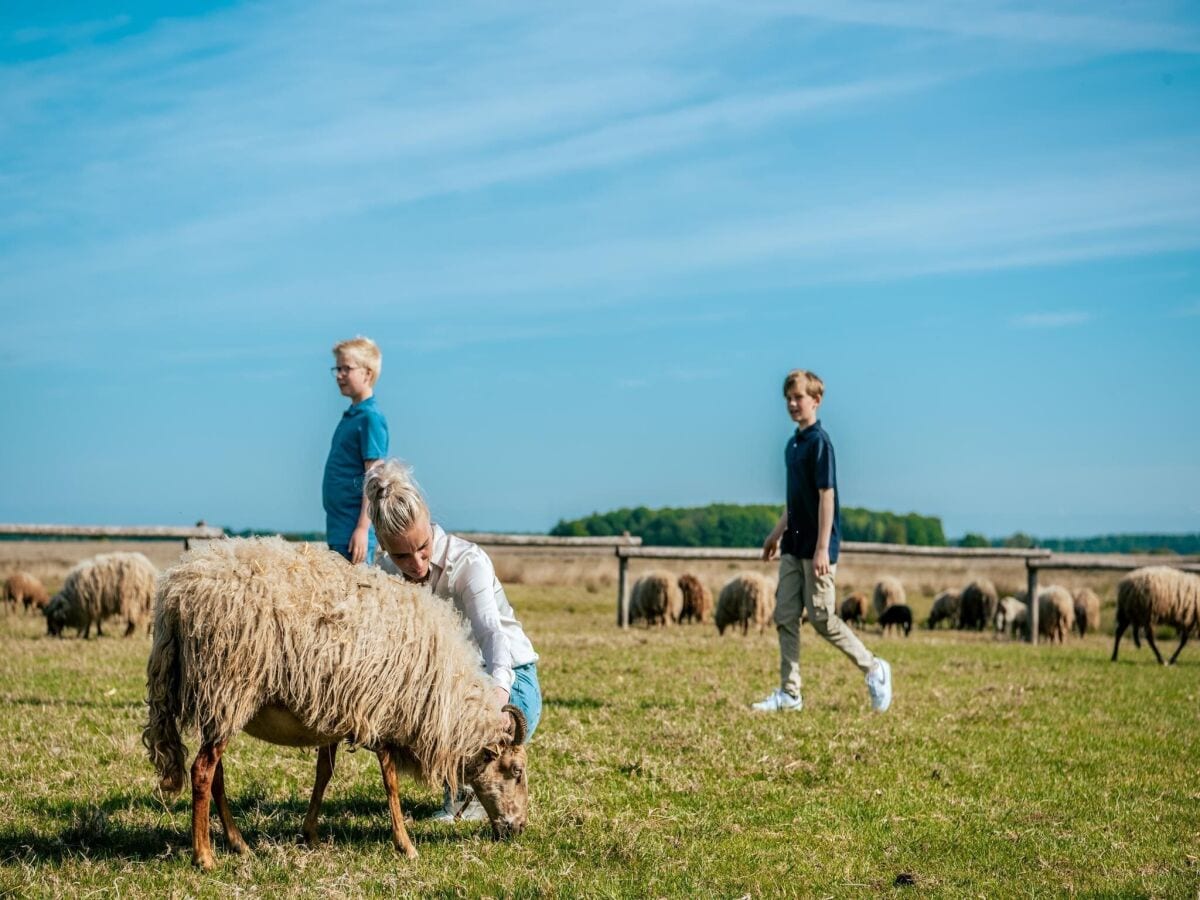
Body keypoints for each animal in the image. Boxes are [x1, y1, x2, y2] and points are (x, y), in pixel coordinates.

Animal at [142, 540, 528, 868]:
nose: (520, 828)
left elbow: (323, 775)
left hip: (218, 701)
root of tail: (176, 592)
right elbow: (390, 781)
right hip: (229, 686)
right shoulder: (380, 712)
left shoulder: (335, 712)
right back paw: (204, 856)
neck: (444, 699)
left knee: (214, 774)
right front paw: (405, 844)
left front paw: (310, 834)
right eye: (516, 771)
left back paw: (238, 843)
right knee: (202, 771)